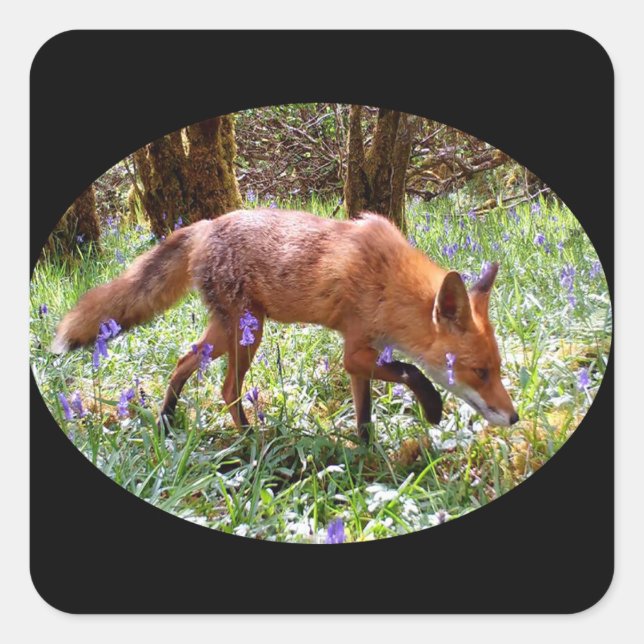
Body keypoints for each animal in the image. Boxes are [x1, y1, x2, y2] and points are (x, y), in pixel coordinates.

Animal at [51, 208, 519, 438]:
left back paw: (167, 421)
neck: (388, 280)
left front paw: (365, 455)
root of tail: (205, 225)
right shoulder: (355, 351)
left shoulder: (360, 358)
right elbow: (411, 370)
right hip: (246, 333)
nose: (514, 418)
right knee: (227, 389)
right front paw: (433, 408)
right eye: (480, 372)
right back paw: (249, 439)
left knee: (184, 362)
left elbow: (365, 415)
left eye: (498, 370)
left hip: (227, 332)